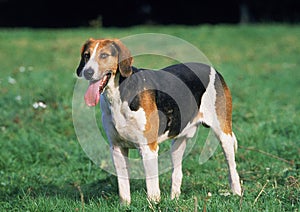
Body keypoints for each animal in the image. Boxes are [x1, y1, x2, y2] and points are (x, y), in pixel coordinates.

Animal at [76, 38, 243, 204]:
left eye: (104, 55)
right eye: (86, 55)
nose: (87, 72)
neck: (118, 96)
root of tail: (212, 69)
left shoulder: (148, 148)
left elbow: (152, 185)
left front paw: (154, 204)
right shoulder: (117, 148)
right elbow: (123, 186)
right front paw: (125, 205)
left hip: (223, 135)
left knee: (232, 167)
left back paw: (237, 193)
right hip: (177, 143)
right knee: (177, 172)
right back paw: (174, 198)